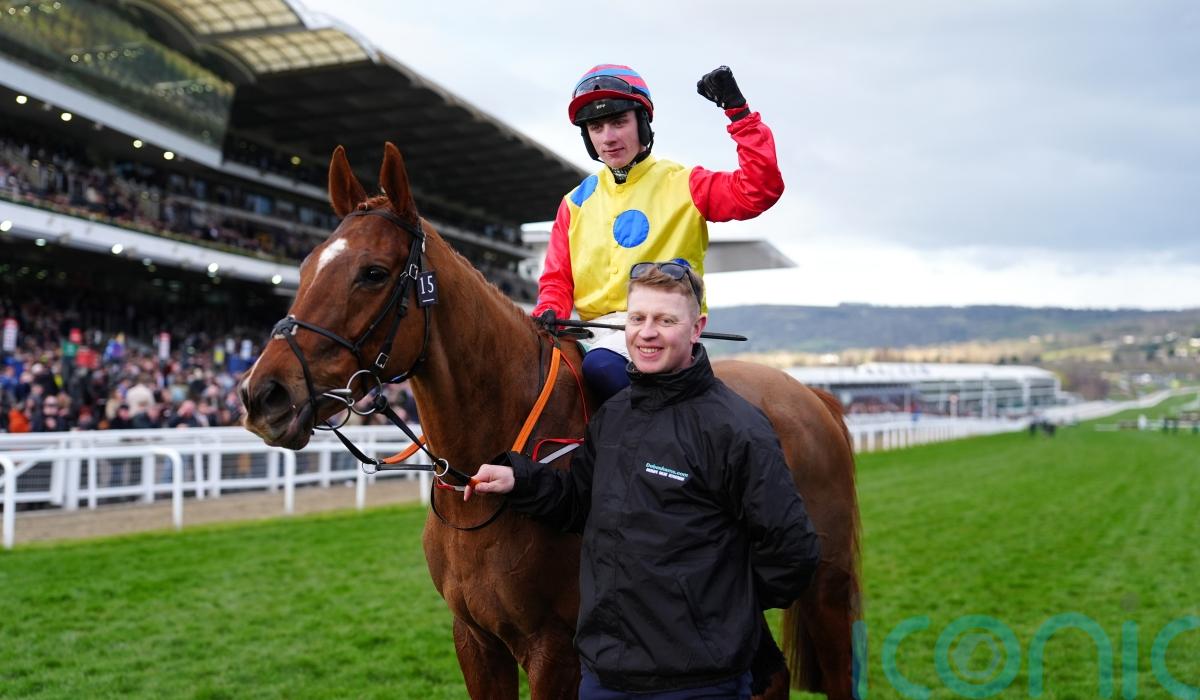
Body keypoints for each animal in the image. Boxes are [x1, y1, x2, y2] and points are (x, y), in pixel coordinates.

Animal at [240, 143, 862, 699]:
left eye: (372, 272)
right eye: (304, 265)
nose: (264, 395)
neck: (482, 477)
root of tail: (812, 395)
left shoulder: (555, 649)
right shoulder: (475, 641)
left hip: (824, 587)